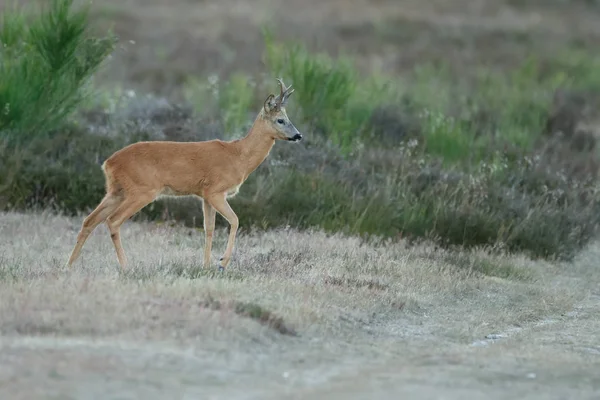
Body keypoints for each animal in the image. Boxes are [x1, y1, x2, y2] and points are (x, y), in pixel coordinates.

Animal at [65, 77, 302, 272]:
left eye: (288, 117)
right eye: (280, 120)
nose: (298, 135)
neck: (238, 156)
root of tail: (108, 163)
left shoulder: (205, 195)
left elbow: (209, 228)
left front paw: (206, 266)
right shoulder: (216, 191)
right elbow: (235, 220)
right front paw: (222, 263)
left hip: (116, 191)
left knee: (89, 220)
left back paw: (70, 265)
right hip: (142, 190)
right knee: (113, 221)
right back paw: (126, 267)